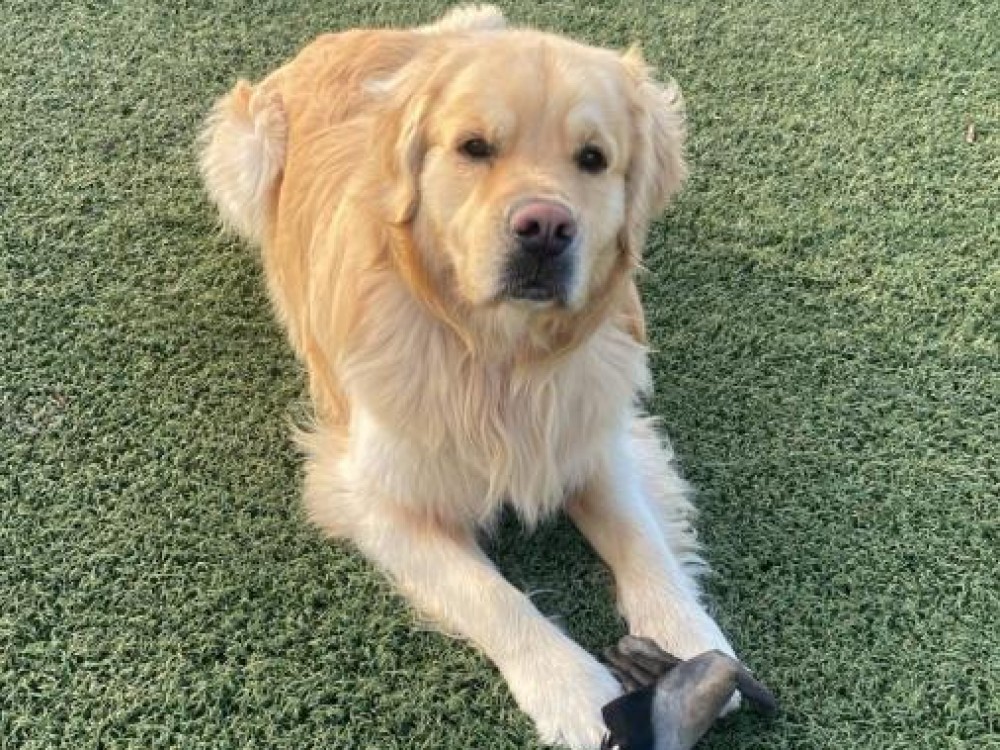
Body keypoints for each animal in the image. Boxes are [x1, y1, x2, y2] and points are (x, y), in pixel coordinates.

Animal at [199, 6, 736, 748]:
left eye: (593, 159)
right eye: (475, 147)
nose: (545, 228)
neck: (500, 357)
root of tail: (349, 33)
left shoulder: (591, 432)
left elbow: (641, 535)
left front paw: (688, 637)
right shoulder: (373, 495)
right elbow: (492, 598)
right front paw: (574, 691)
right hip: (242, 151)